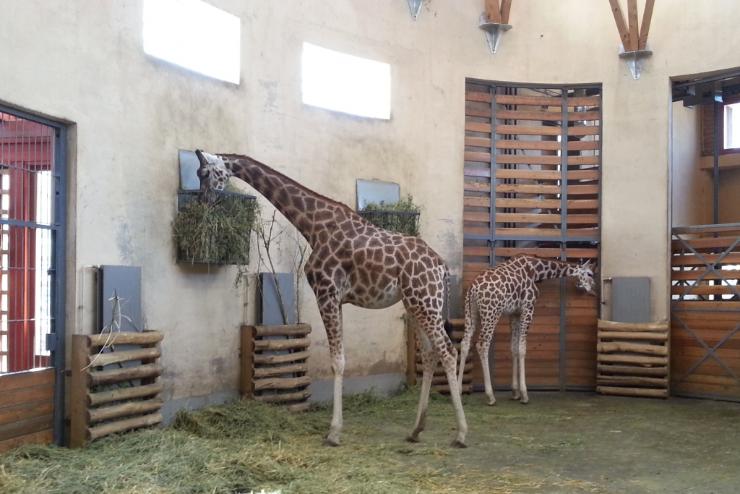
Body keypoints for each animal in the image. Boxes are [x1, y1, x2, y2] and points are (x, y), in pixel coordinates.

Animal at [194, 150, 468, 447]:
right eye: (198, 174)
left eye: (206, 173)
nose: (203, 201)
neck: (313, 225)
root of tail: (441, 267)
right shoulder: (337, 299)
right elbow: (339, 359)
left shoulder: (326, 292)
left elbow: (337, 361)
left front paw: (334, 432)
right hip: (415, 304)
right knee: (430, 354)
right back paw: (416, 429)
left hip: (425, 302)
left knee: (448, 351)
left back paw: (461, 433)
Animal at [458, 254, 596, 406]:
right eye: (590, 274)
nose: (593, 288)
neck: (535, 270)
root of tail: (473, 289)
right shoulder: (528, 308)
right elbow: (522, 348)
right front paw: (524, 394)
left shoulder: (514, 313)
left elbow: (513, 348)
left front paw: (515, 392)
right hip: (491, 313)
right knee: (482, 344)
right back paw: (490, 396)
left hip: (471, 313)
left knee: (465, 343)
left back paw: (458, 391)